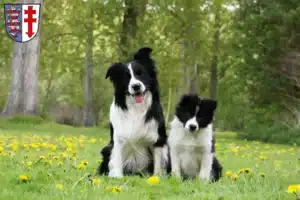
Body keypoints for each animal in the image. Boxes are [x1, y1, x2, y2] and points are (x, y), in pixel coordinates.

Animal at [97, 47, 170, 178]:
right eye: (126, 77)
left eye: (140, 74)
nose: (136, 86)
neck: (136, 108)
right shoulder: (117, 140)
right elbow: (117, 160)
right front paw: (117, 177)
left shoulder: (158, 140)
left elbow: (158, 163)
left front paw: (156, 178)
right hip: (107, 149)